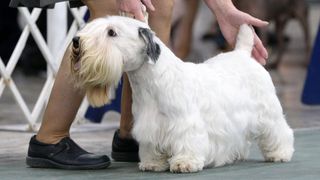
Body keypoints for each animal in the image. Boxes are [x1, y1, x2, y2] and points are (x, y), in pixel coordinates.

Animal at [71, 16, 294, 172]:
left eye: (111, 32)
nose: (75, 41)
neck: (151, 83)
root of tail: (242, 53)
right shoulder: (148, 126)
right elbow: (150, 146)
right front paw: (153, 163)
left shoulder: (185, 124)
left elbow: (188, 143)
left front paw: (184, 163)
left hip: (268, 113)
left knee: (279, 132)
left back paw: (279, 153)